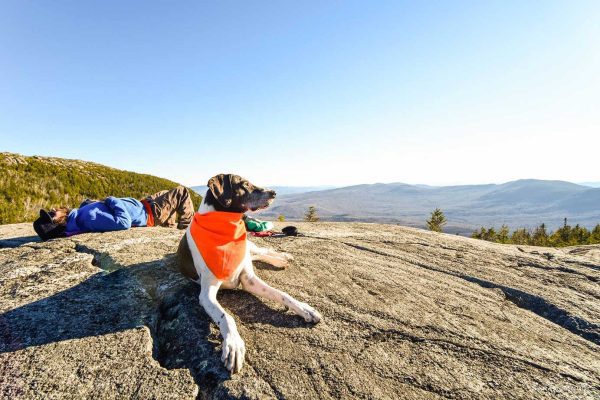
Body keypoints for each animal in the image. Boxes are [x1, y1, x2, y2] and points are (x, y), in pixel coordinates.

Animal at [176, 173, 322, 374]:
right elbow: (226, 317)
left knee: (261, 251)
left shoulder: (249, 279)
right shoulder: (206, 294)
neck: (225, 232)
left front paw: (304, 308)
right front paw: (233, 344)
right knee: (256, 255)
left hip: (249, 246)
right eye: (244, 184)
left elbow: (282, 294)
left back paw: (282, 257)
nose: (273, 192)